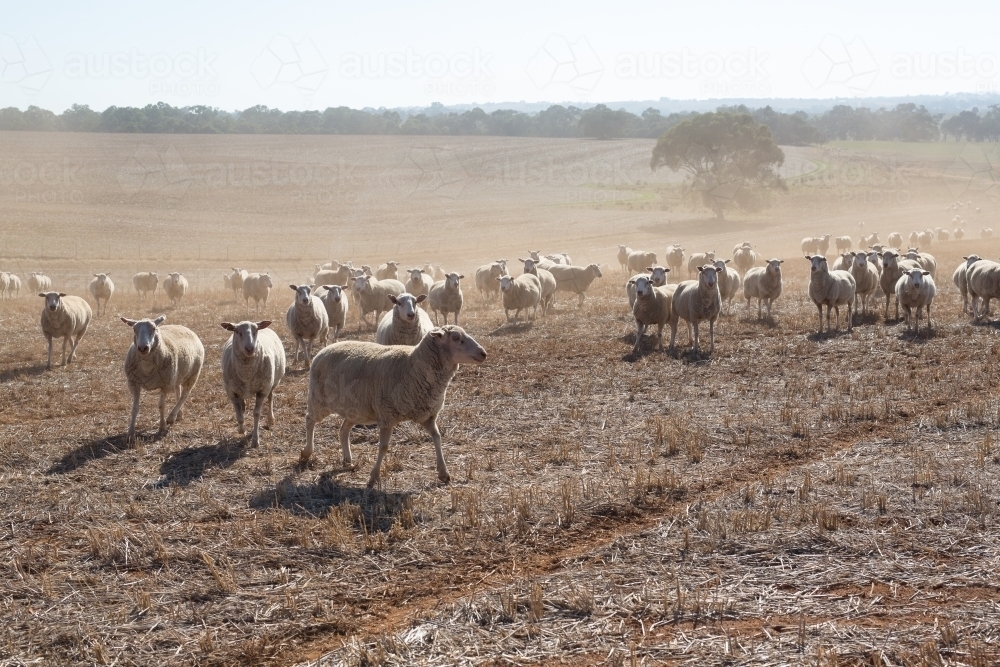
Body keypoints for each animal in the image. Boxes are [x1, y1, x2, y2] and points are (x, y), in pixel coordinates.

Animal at [302, 325, 487, 487]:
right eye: (456, 338)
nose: (483, 353)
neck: (412, 366)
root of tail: (325, 349)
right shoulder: (387, 415)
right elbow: (383, 447)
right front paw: (373, 477)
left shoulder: (427, 415)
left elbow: (437, 437)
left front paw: (444, 473)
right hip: (319, 399)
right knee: (309, 420)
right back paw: (307, 452)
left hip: (355, 409)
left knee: (343, 431)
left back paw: (347, 460)